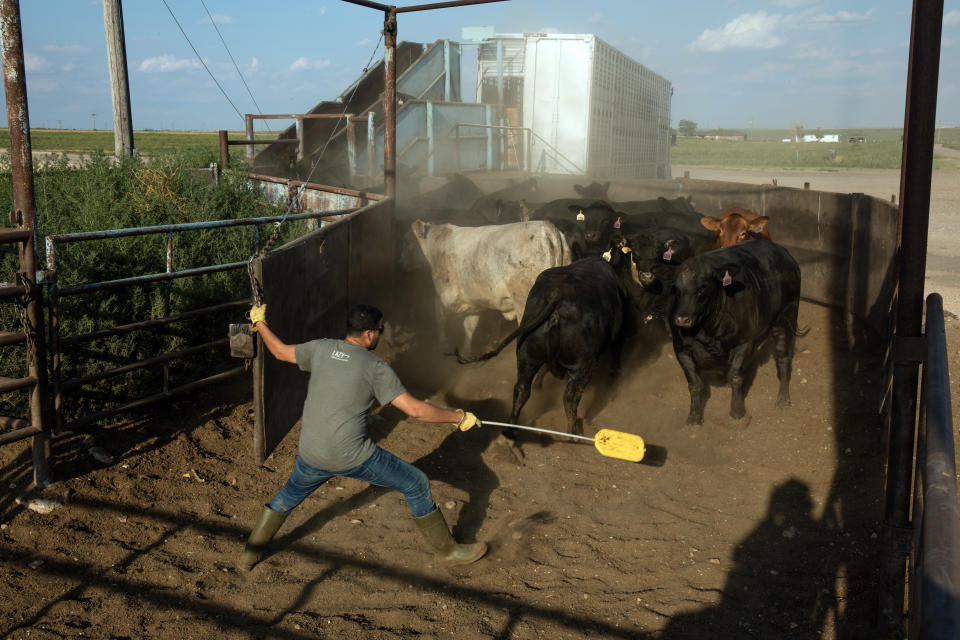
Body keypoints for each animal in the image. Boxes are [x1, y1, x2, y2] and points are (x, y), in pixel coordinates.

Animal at [404, 219, 568, 350]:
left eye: (408, 242)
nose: (401, 262)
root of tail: (546, 227)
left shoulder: (444, 297)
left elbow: (439, 318)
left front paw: (443, 344)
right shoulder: (474, 302)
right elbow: (469, 327)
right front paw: (466, 351)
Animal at [456, 254, 632, 436]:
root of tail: (558, 298)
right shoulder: (618, 333)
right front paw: (614, 373)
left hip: (527, 356)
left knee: (521, 389)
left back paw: (511, 428)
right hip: (582, 365)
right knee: (570, 397)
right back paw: (573, 432)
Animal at [664, 240, 800, 424]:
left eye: (701, 288)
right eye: (676, 289)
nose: (682, 319)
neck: (706, 328)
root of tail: (783, 252)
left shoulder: (744, 342)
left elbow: (735, 376)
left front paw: (737, 411)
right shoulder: (680, 348)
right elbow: (694, 384)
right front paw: (694, 417)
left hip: (786, 317)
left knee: (783, 357)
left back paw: (783, 399)